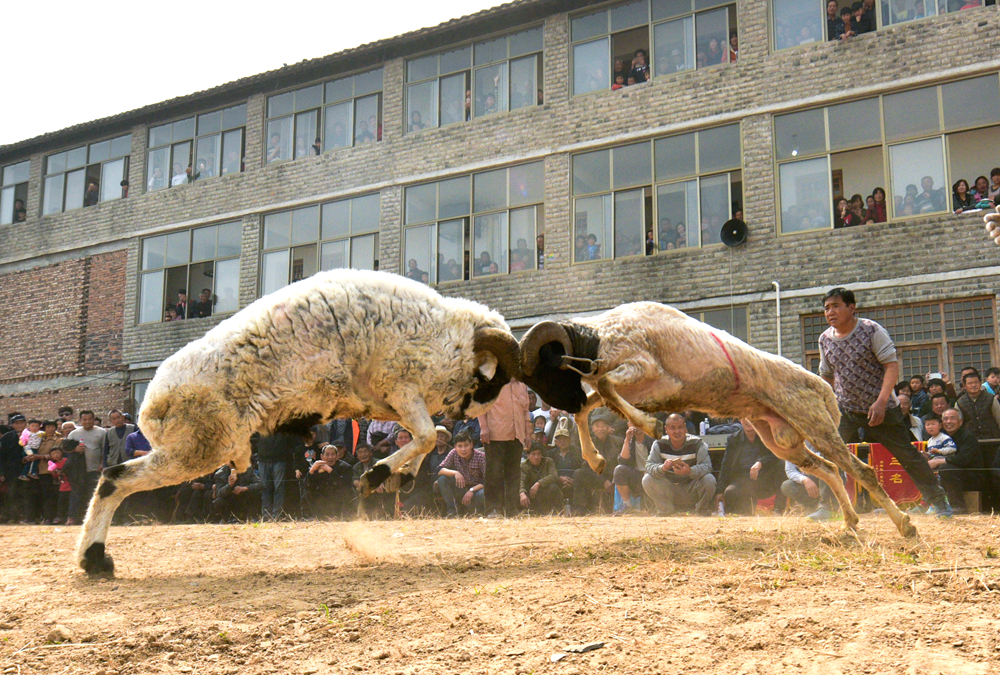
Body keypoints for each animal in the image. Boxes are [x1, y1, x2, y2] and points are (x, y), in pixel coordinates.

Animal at [76, 269, 520, 577]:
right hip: (199, 446)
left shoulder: (390, 405)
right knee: (114, 479)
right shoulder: (399, 384)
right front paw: (376, 476)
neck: (446, 336)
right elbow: (427, 436)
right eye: (494, 378)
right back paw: (94, 560)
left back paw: (96, 559)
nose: (473, 416)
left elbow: (429, 437)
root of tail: (150, 404)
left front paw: (401, 477)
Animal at [518, 302, 917, 539]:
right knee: (830, 471)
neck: (601, 336)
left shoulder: (648, 371)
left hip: (817, 426)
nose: (546, 405)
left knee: (861, 471)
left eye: (545, 369)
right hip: (782, 439)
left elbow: (601, 387)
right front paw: (597, 459)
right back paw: (850, 524)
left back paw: (905, 525)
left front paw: (650, 426)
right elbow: (586, 407)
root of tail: (823, 387)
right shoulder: (637, 388)